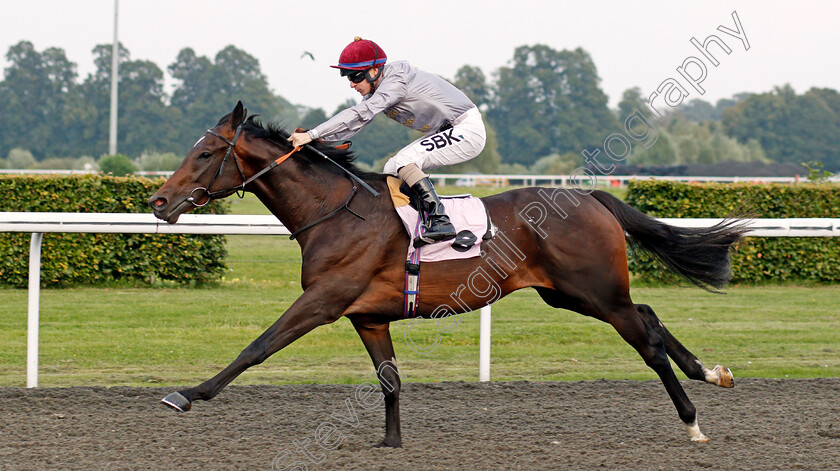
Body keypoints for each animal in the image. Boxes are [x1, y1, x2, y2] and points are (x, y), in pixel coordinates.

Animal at [148, 101, 744, 448]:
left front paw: (187, 393)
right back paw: (711, 372)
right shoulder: (367, 316)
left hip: (594, 291)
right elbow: (389, 379)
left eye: (205, 153)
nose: (158, 201)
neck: (336, 212)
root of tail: (591, 196)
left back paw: (692, 420)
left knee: (646, 339)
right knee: (648, 313)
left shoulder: (323, 301)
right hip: (570, 294)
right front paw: (391, 443)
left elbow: (258, 346)